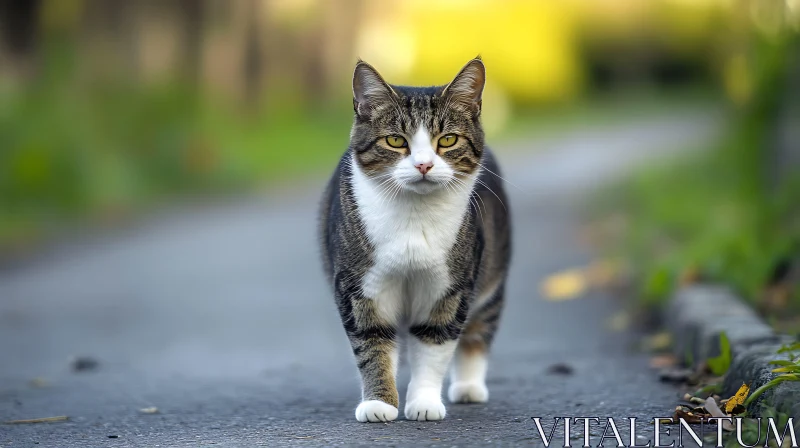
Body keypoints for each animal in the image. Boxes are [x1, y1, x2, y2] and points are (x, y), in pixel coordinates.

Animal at [318, 57, 512, 422]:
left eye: (447, 139)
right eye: (396, 141)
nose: (423, 165)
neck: (414, 217)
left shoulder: (450, 289)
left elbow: (435, 343)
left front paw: (423, 403)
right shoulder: (360, 287)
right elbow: (373, 342)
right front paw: (379, 403)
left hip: (492, 279)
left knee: (479, 328)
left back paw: (469, 387)